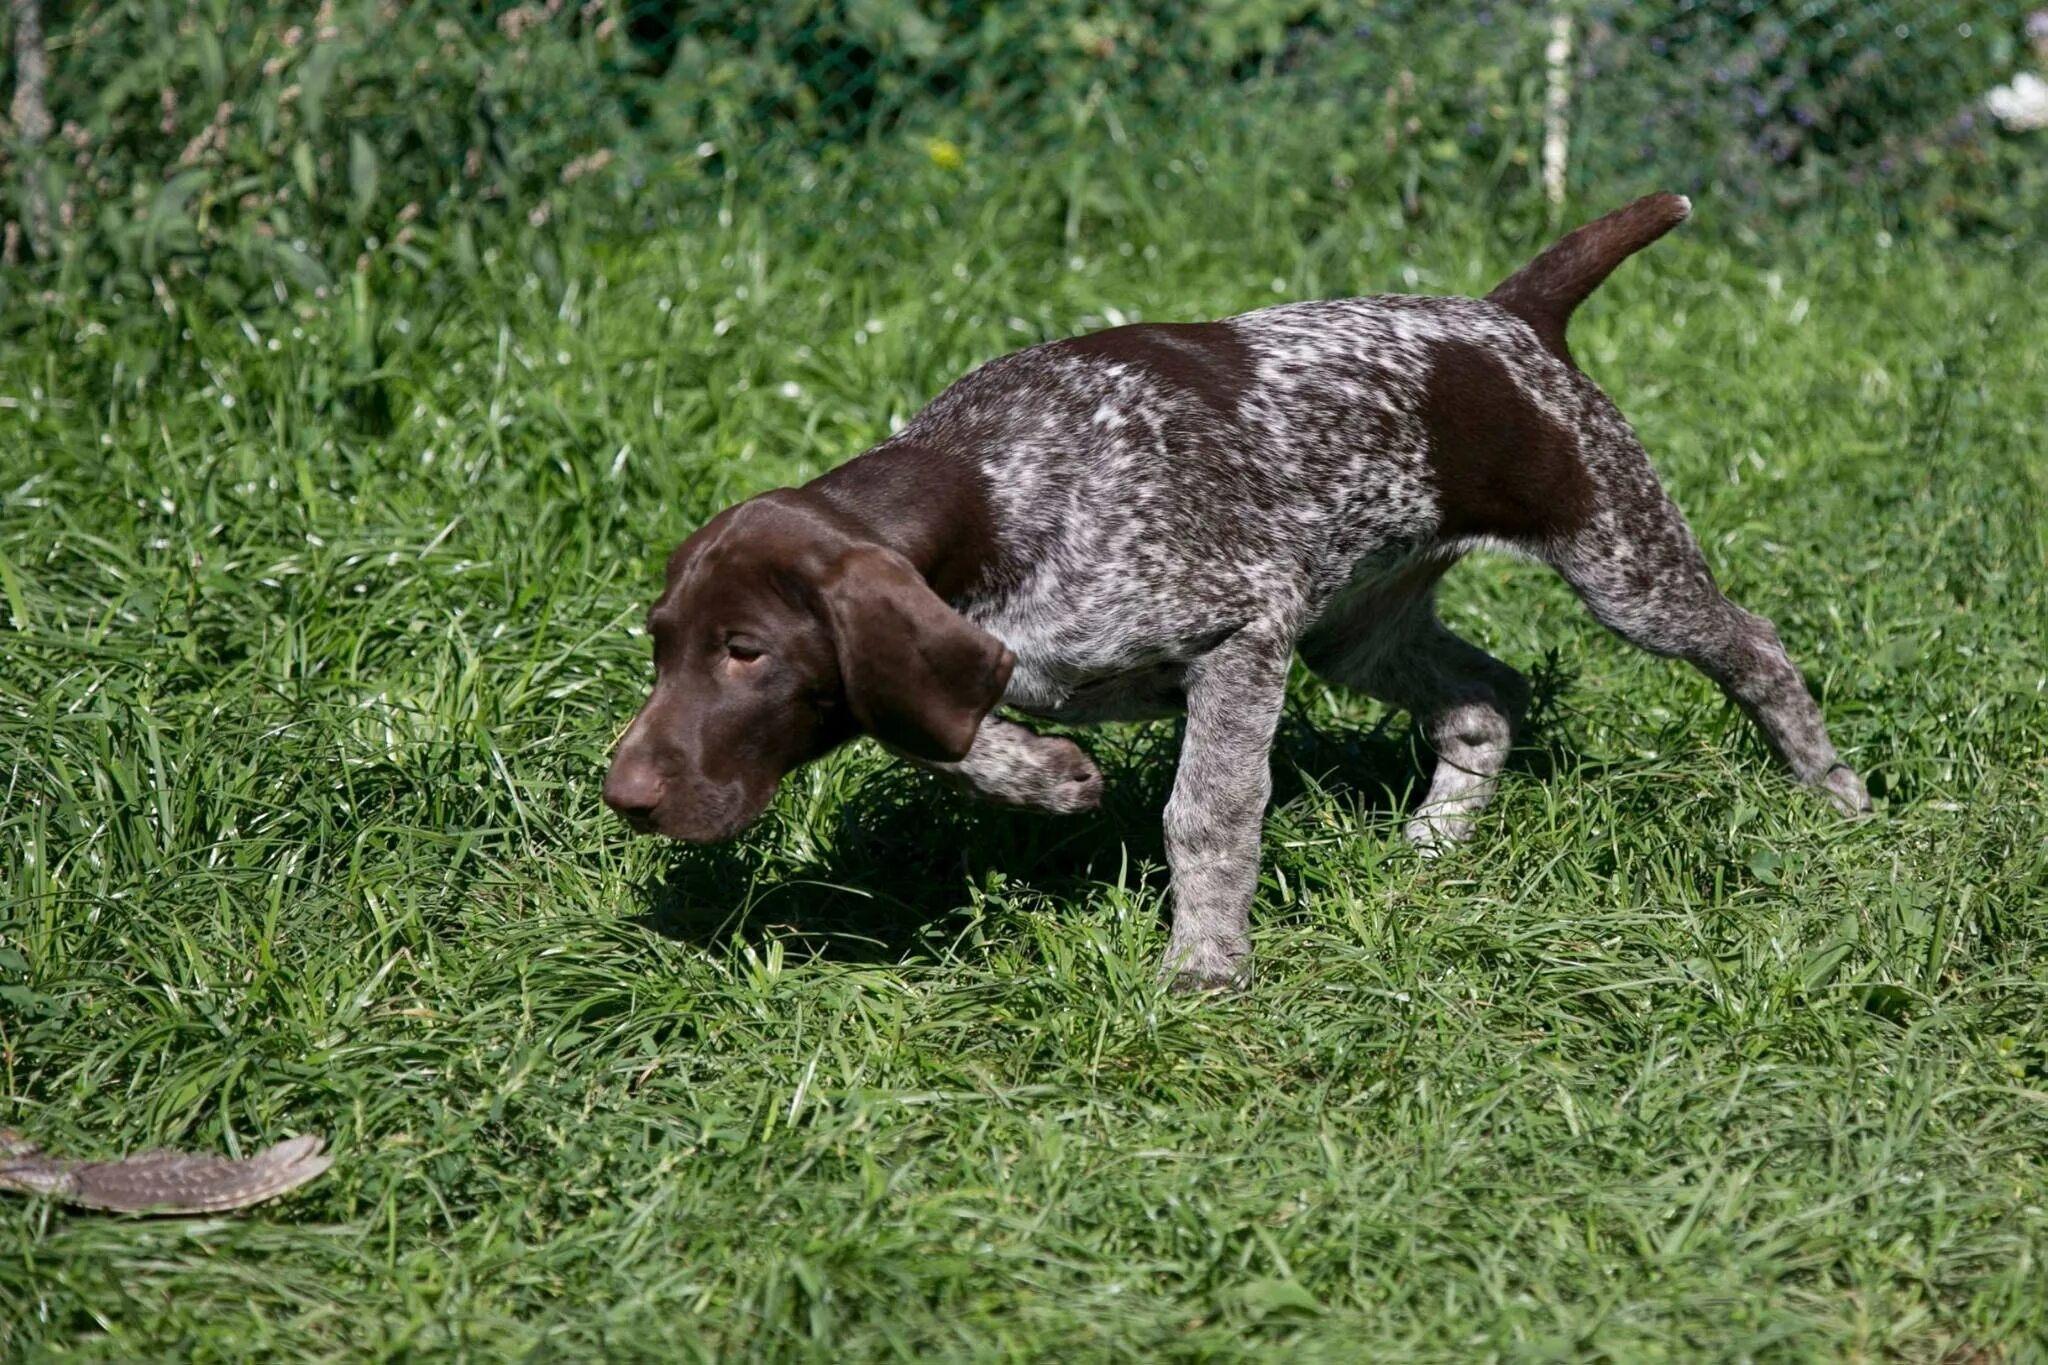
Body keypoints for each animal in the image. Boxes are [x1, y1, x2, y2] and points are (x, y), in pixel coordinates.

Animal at [602, 194, 1875, 994]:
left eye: (747, 653)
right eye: (663, 644)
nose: (624, 798)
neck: (997, 485)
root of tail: (1507, 315)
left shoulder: (1240, 632)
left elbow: (1204, 815)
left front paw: (1203, 965)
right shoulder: (1000, 652)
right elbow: (939, 725)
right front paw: (1048, 775)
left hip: (1619, 564)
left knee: (1752, 646)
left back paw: (1830, 790)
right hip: (1358, 626)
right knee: (1483, 698)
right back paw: (1434, 838)